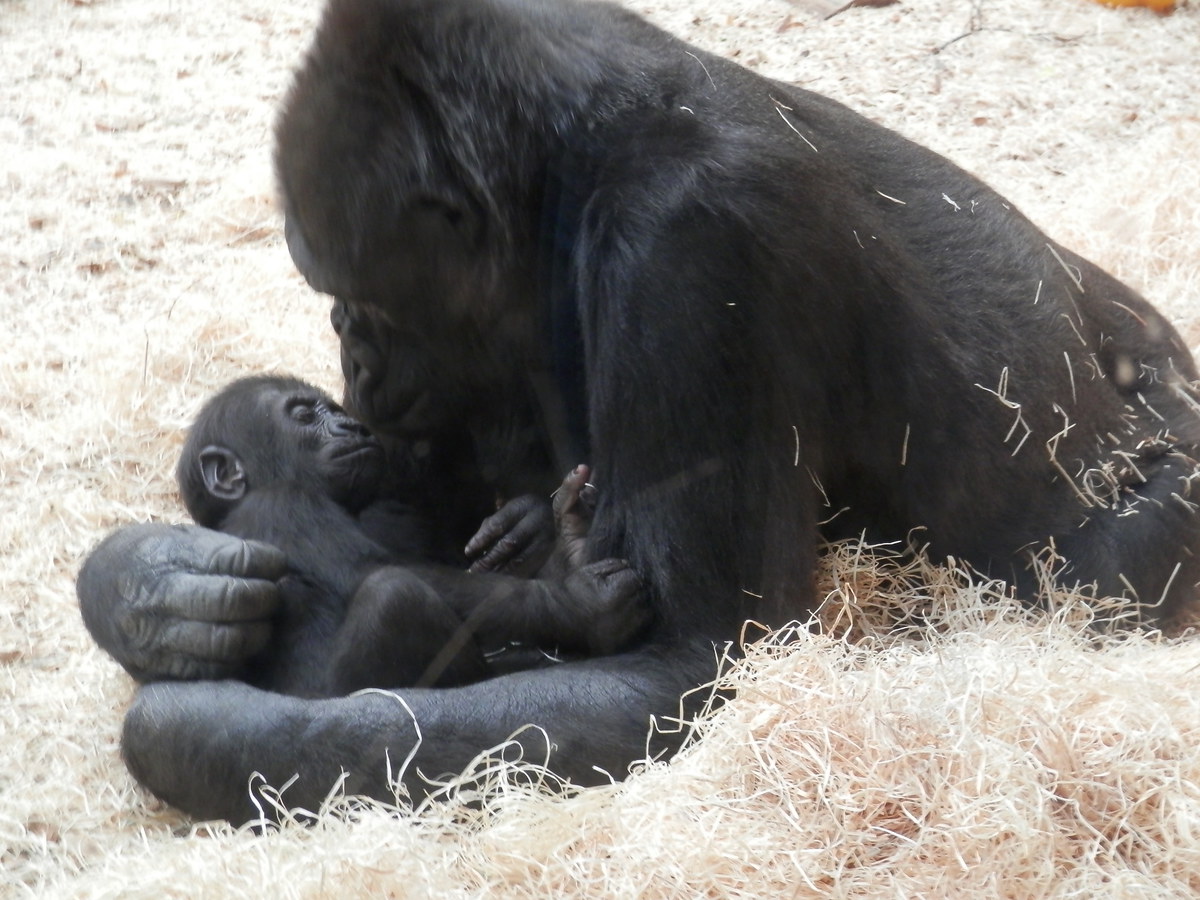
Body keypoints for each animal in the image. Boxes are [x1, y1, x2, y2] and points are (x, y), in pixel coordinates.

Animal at [174, 374, 643, 696]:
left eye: (338, 412)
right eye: (305, 416)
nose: (353, 428)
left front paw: (538, 530)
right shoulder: (281, 506)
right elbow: (377, 573)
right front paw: (581, 604)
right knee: (395, 595)